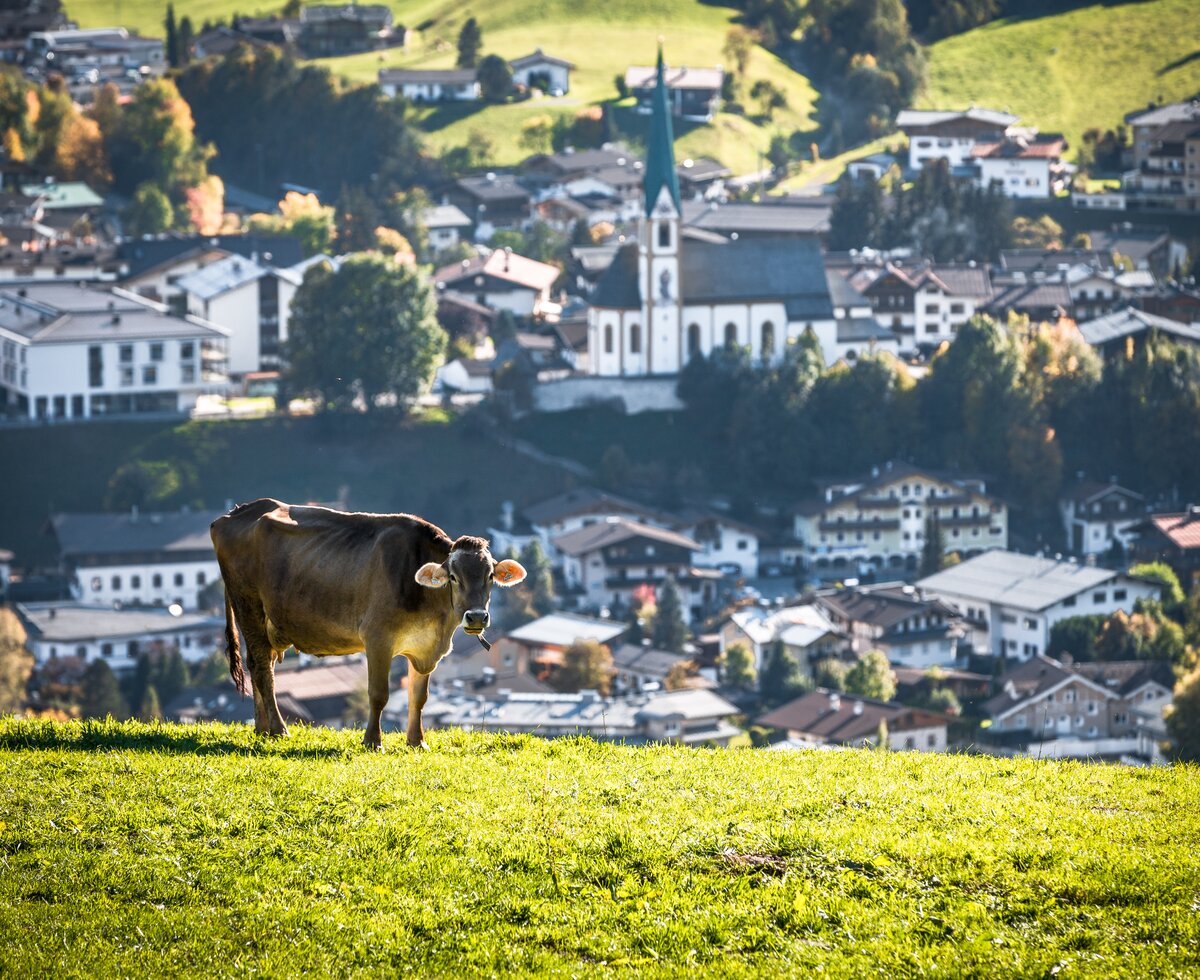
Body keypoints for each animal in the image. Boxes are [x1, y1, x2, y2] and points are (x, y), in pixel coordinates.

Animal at [210, 501, 525, 743]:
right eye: (454, 577)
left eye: (490, 576)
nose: (476, 617)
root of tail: (237, 512)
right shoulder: (377, 639)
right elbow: (378, 694)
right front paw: (373, 741)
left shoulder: (424, 646)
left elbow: (418, 697)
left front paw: (417, 741)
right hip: (248, 603)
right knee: (263, 667)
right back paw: (278, 729)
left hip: (270, 621)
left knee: (258, 663)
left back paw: (261, 728)